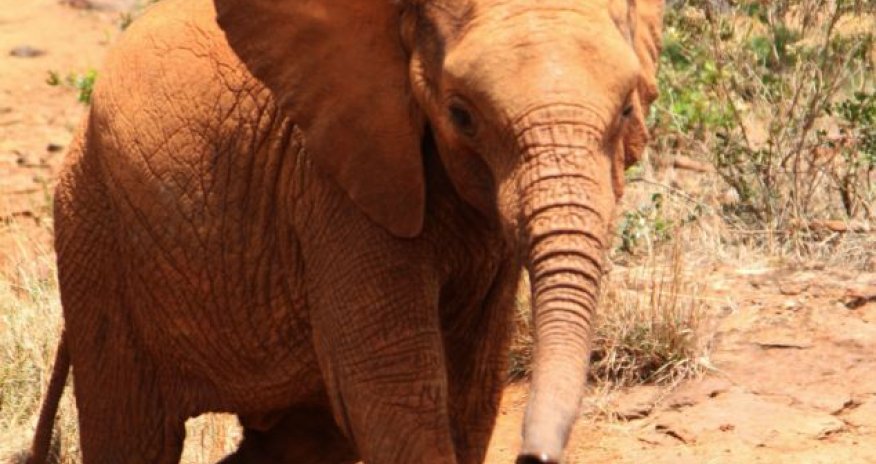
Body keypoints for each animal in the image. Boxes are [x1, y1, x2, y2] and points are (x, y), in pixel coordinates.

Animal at [26, 0, 664, 462]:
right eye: (461, 116)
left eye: (627, 111)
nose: (534, 456)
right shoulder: (335, 188)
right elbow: (396, 393)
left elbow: (472, 391)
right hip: (94, 231)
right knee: (132, 437)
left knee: (299, 444)